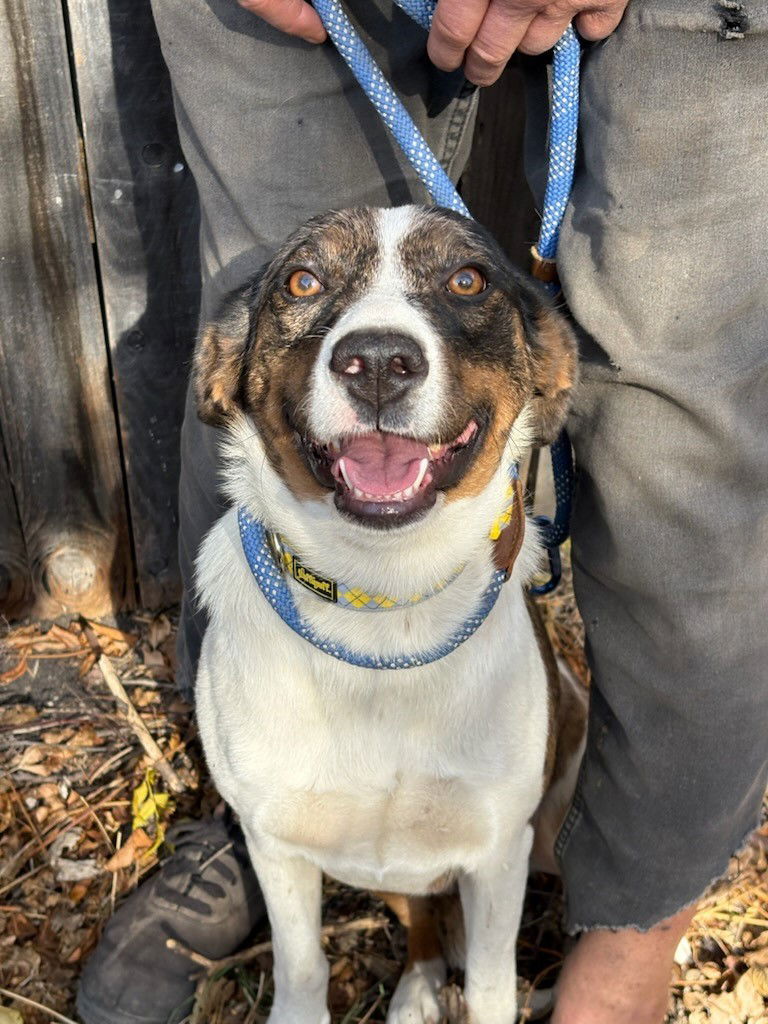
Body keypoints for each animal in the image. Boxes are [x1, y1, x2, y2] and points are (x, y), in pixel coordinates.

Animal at [193, 205, 587, 1024]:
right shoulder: (274, 842)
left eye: (468, 280)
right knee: (422, 918)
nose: (376, 362)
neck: (383, 601)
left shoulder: (497, 852)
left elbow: (493, 985)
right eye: (302, 280)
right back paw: (416, 990)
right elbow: (303, 967)